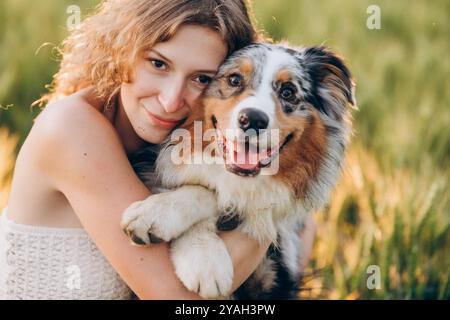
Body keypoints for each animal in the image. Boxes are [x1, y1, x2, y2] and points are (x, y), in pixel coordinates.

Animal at [120, 43, 356, 300]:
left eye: (288, 92)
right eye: (234, 79)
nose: (252, 119)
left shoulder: (276, 273)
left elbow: (213, 194)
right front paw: (202, 256)